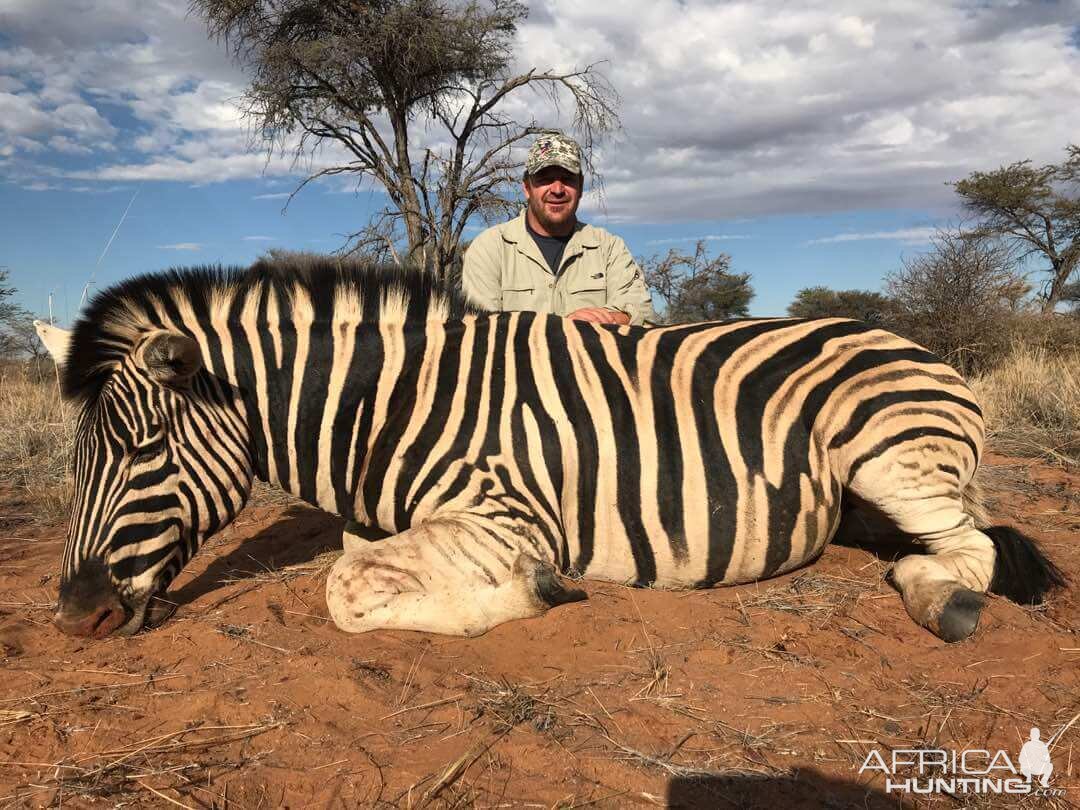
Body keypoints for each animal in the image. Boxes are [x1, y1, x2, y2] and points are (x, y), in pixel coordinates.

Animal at [35, 257, 1062, 643]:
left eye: (143, 449)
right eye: (75, 462)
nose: (77, 615)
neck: (391, 405)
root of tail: (911, 343)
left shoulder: (506, 511)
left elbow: (344, 589)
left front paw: (537, 590)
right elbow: (359, 559)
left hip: (887, 452)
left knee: (967, 549)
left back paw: (943, 602)